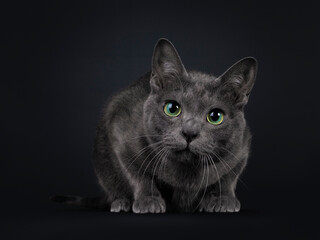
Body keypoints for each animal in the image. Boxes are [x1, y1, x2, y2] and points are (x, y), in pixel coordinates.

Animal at [52, 38, 258, 214]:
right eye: (172, 108)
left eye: (215, 117)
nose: (189, 132)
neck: (186, 174)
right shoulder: (120, 134)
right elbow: (138, 173)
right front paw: (148, 200)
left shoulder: (242, 148)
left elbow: (229, 177)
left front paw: (223, 200)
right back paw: (121, 202)